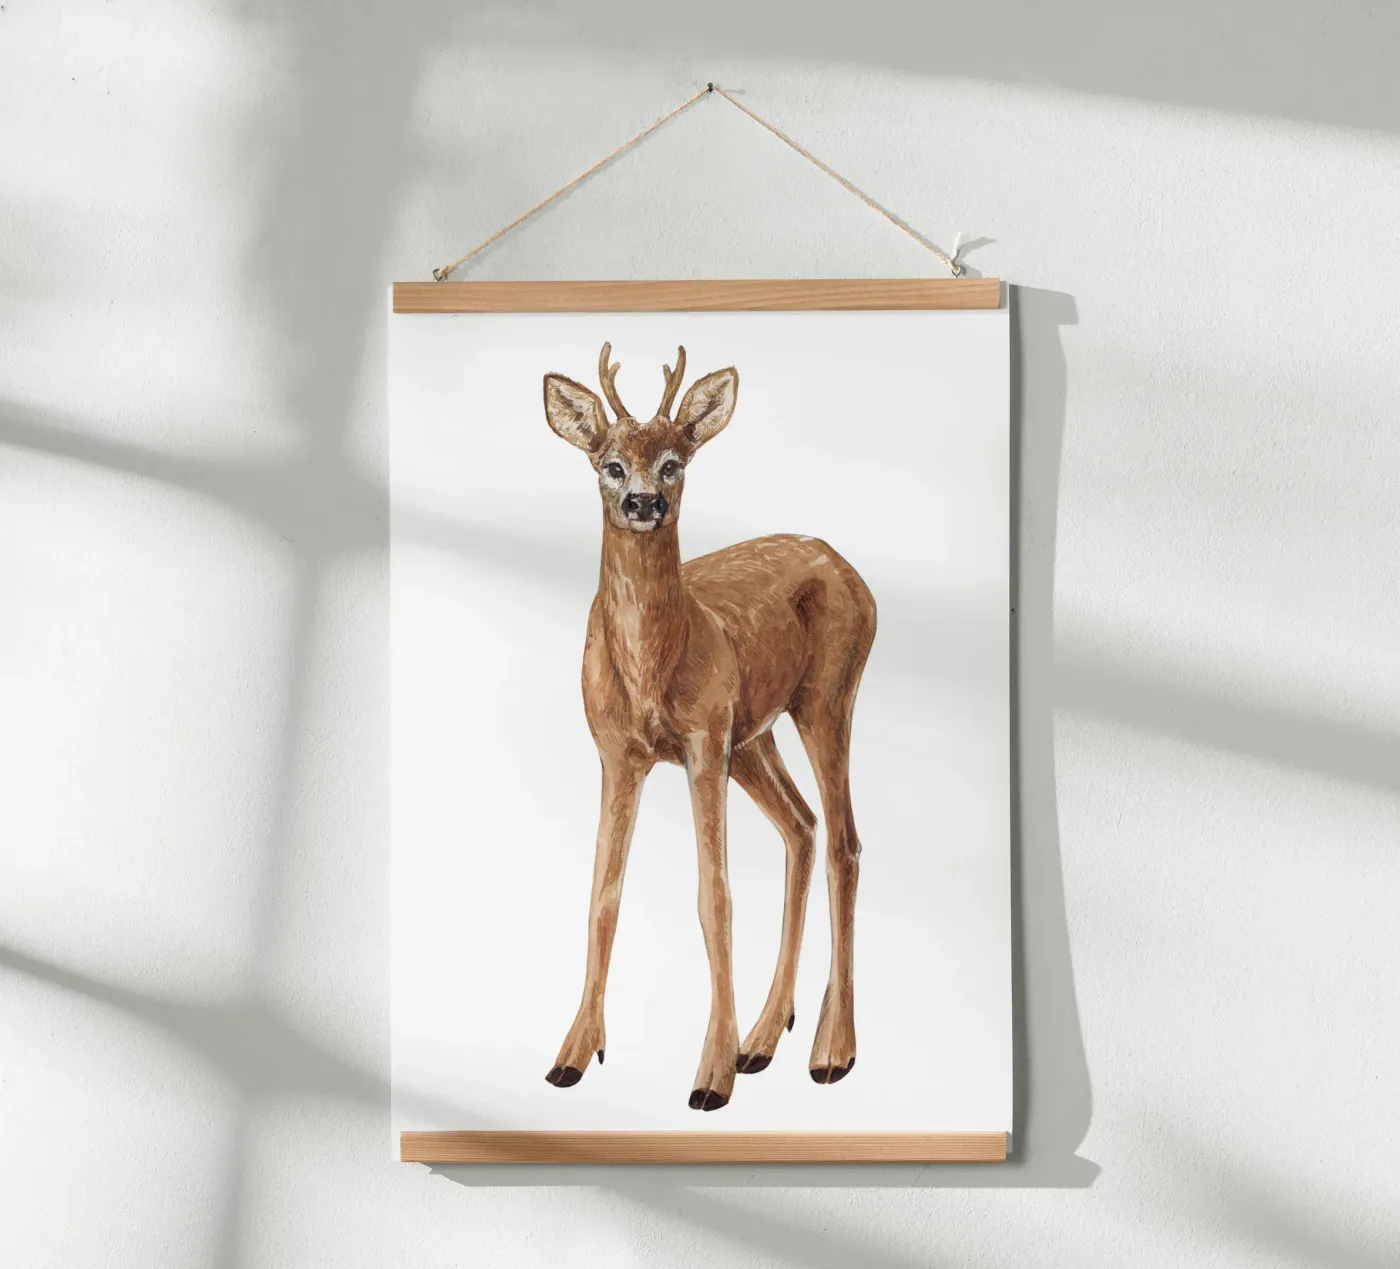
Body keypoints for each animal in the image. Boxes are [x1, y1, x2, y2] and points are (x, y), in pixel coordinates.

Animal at [541, 342, 876, 1111]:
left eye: (675, 461)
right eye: (609, 462)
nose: (644, 502)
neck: (652, 668)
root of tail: (852, 571)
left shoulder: (700, 742)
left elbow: (713, 897)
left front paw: (709, 1076)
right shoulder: (618, 752)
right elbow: (603, 895)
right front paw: (573, 1054)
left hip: (824, 698)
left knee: (844, 841)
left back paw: (830, 1052)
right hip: (753, 735)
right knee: (802, 826)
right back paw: (764, 1038)